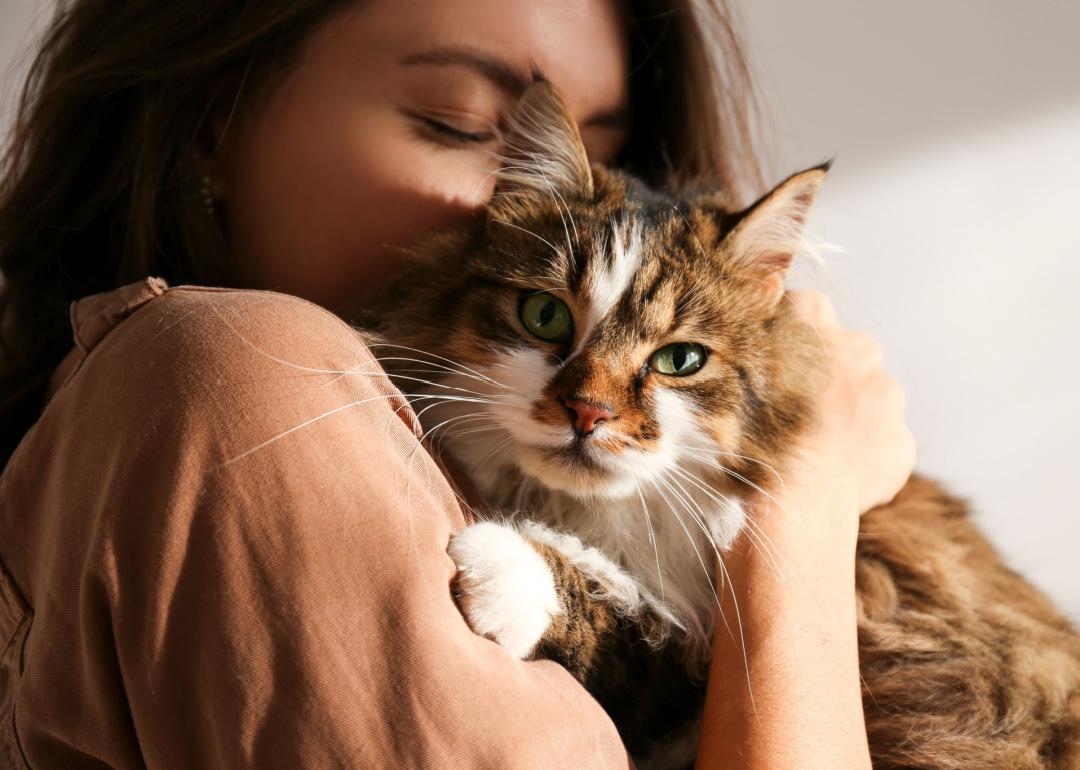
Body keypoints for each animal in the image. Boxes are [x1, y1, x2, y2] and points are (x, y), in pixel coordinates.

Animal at [360, 80, 1080, 764]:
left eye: (680, 360)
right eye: (544, 316)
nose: (588, 411)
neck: (596, 518)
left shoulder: (688, 665)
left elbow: (619, 614)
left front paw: (504, 566)